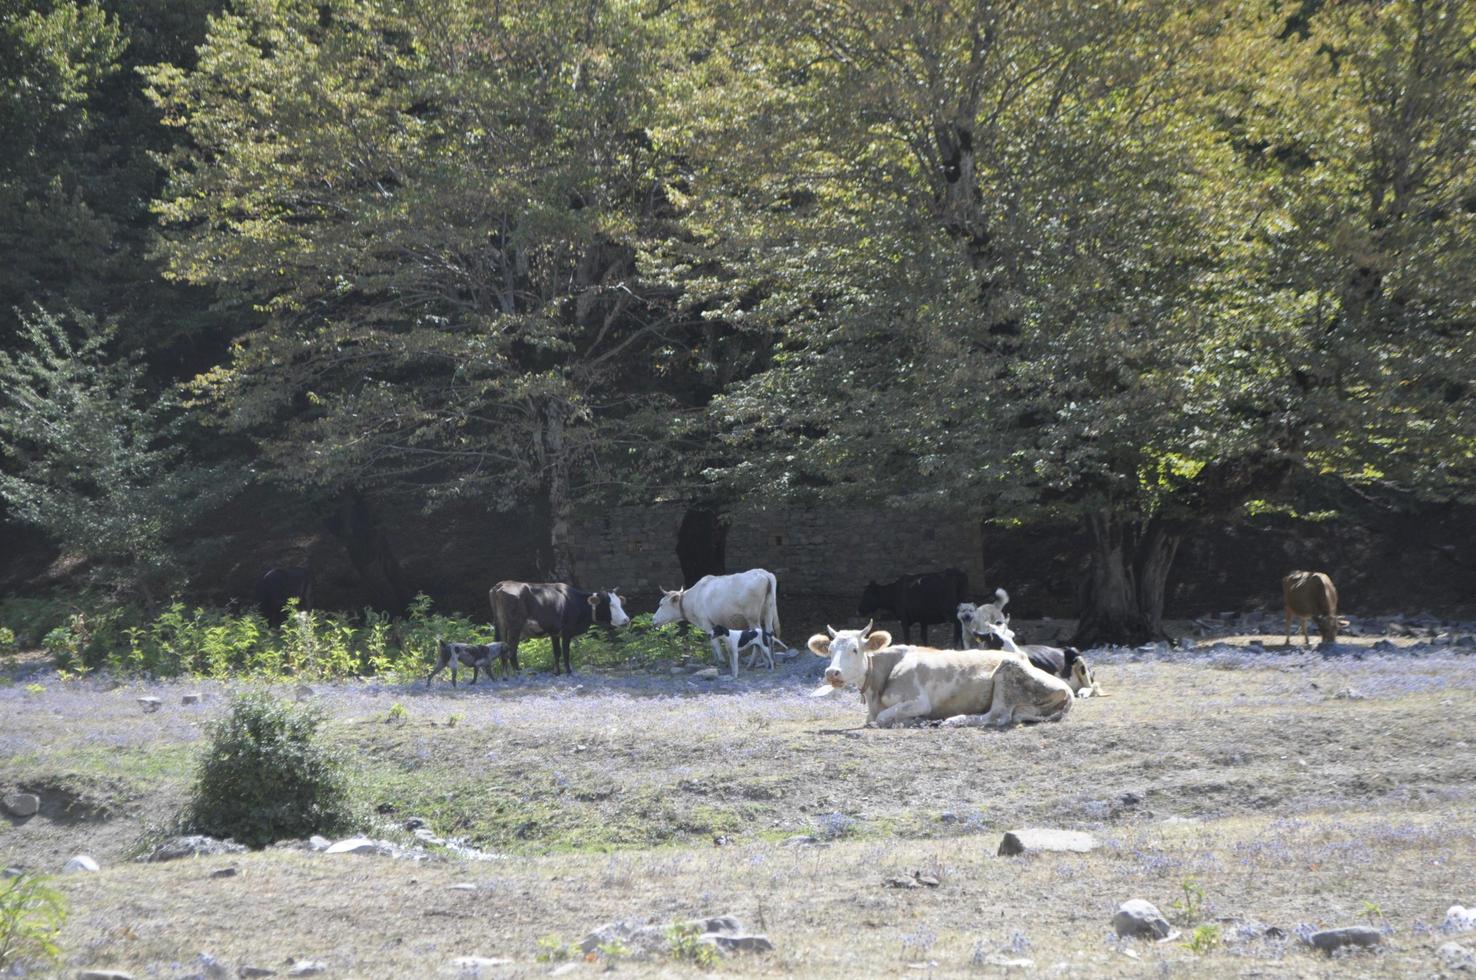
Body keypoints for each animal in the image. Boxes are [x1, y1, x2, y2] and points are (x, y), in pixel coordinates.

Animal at [490, 581, 628, 673]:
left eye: (620, 603)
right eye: (610, 604)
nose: (626, 620)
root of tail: (502, 584)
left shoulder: (554, 632)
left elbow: (556, 652)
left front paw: (557, 672)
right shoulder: (566, 631)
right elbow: (566, 652)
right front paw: (569, 671)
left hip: (500, 625)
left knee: (502, 649)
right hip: (515, 627)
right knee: (512, 651)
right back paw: (518, 672)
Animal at [649, 563, 779, 670]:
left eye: (661, 604)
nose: (653, 619)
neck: (693, 598)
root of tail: (764, 573)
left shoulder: (705, 622)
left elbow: (715, 643)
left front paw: (721, 661)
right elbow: (713, 642)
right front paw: (716, 661)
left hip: (752, 617)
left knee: (758, 636)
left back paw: (754, 663)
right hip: (768, 612)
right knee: (769, 633)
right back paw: (771, 661)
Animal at [808, 619, 1074, 726]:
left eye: (854, 649)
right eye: (829, 649)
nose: (832, 672)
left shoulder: (919, 701)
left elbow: (882, 718)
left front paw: (913, 720)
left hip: (1007, 674)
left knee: (997, 716)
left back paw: (953, 720)